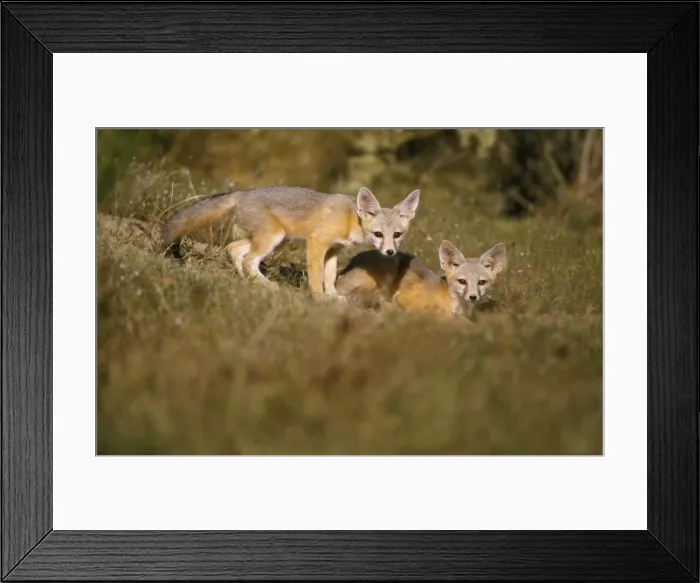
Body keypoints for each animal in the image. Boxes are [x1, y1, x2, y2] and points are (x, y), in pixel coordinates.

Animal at [161, 185, 421, 296]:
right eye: (378, 235)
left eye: (397, 235)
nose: (389, 252)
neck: (351, 218)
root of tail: (243, 192)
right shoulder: (317, 242)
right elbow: (316, 276)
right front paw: (318, 297)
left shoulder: (333, 250)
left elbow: (330, 277)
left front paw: (333, 297)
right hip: (272, 239)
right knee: (249, 260)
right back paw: (267, 285)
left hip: (276, 240)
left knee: (234, 249)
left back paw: (247, 281)